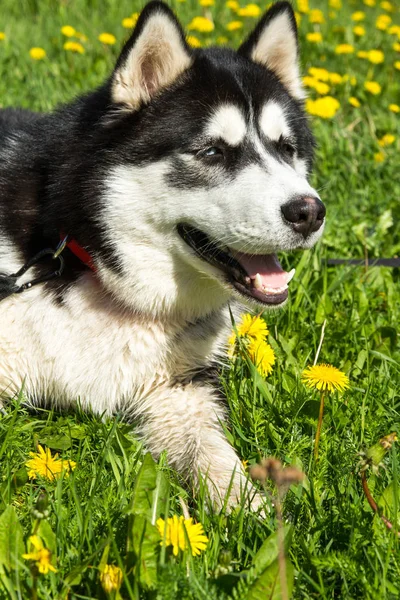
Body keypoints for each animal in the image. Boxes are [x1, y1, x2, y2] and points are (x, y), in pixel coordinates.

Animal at [0, 2, 324, 508]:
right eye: (212, 151)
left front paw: (251, 516)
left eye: (286, 149)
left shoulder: (181, 390)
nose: (309, 212)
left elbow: (217, 458)